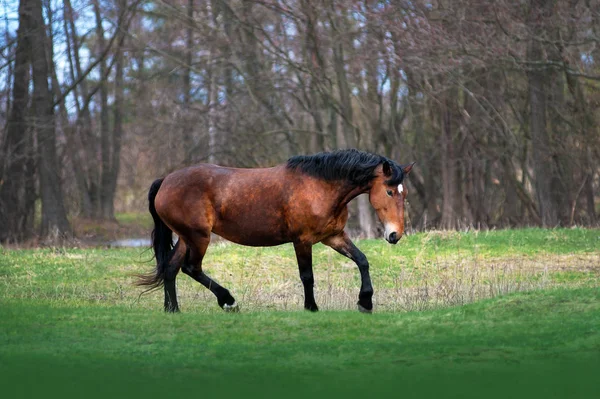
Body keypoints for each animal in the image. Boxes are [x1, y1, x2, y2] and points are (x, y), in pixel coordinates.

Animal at [138, 148, 414, 314]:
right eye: (389, 191)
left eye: (404, 193)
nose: (394, 235)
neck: (320, 187)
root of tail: (166, 181)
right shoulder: (302, 241)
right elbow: (307, 276)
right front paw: (311, 307)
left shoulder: (333, 237)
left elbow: (362, 260)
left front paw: (365, 302)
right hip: (199, 237)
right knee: (191, 268)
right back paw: (228, 300)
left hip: (186, 237)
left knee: (171, 268)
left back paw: (173, 310)